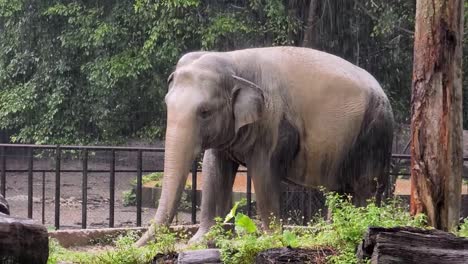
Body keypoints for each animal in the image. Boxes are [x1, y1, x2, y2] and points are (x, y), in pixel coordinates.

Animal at [136, 46, 394, 246]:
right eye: (166, 104)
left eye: (205, 112)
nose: (134, 244)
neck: (233, 61)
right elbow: (213, 169)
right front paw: (203, 241)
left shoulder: (273, 123)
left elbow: (263, 173)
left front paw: (268, 240)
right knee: (340, 190)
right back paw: (333, 234)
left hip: (374, 133)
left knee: (364, 186)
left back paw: (362, 228)